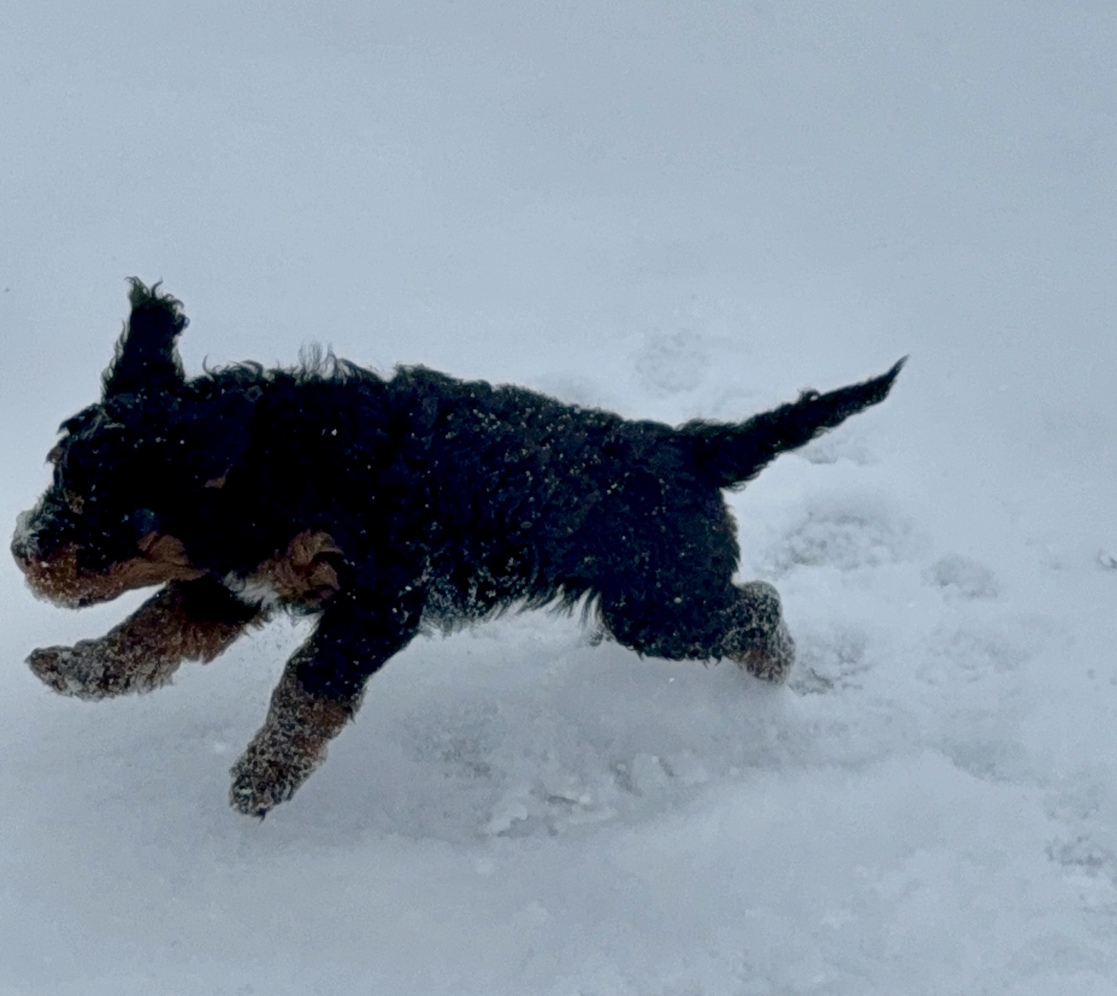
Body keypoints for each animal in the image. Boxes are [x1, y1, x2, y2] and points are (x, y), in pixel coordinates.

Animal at [11, 281, 904, 816]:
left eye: (120, 513)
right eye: (59, 475)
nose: (23, 551)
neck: (277, 461)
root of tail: (688, 447)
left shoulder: (382, 593)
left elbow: (308, 680)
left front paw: (267, 773)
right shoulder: (236, 578)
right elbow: (157, 627)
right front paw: (79, 669)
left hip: (658, 607)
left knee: (757, 607)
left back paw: (774, 669)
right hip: (657, 606)